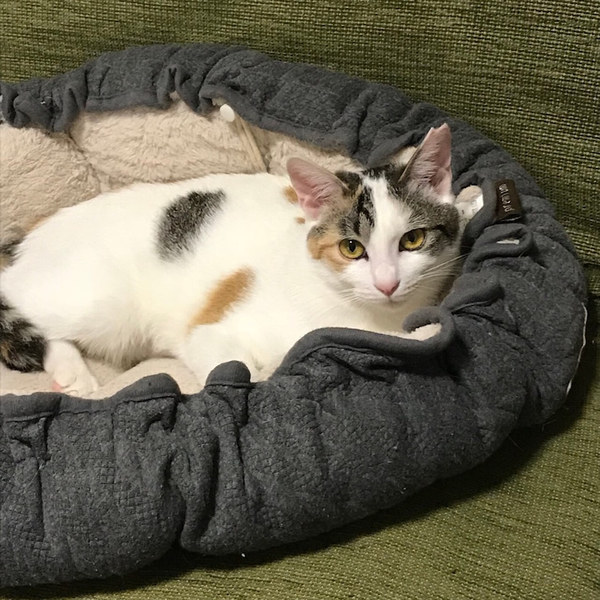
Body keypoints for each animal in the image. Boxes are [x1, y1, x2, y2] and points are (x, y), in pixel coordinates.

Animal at [0, 123, 481, 396]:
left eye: (413, 239)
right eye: (351, 248)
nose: (386, 283)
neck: (370, 320)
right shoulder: (209, 327)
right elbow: (237, 367)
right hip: (99, 301)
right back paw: (72, 372)